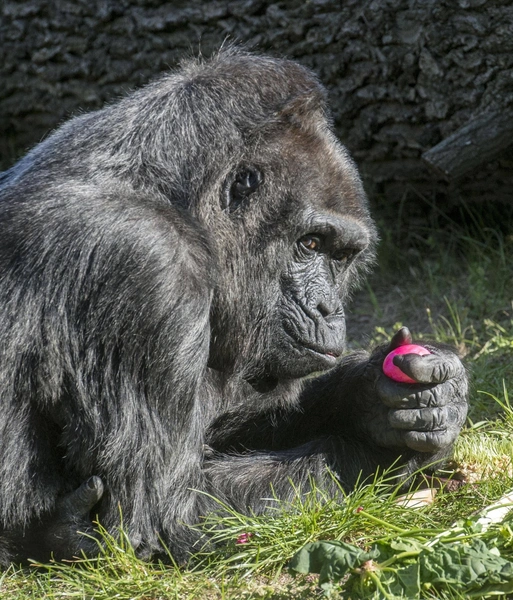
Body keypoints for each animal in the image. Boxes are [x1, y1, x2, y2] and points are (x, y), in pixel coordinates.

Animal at [0, 49, 468, 564]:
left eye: (341, 256)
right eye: (310, 243)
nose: (328, 308)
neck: (180, 203)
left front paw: (382, 401)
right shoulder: (144, 265)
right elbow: (159, 513)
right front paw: (380, 449)